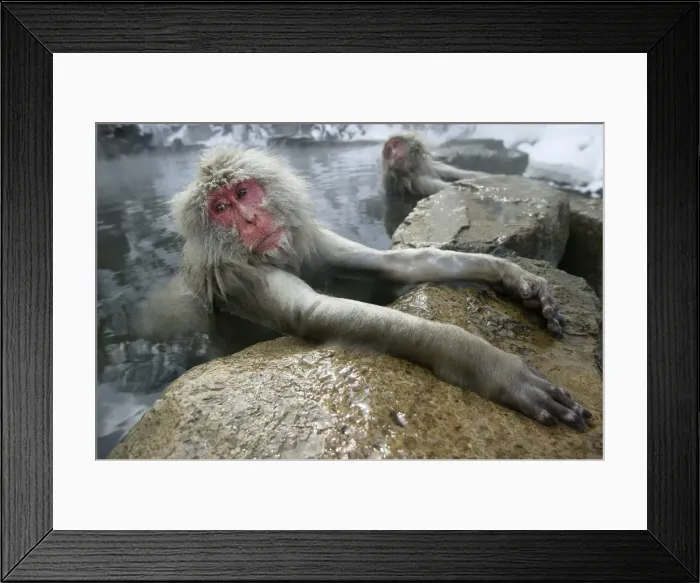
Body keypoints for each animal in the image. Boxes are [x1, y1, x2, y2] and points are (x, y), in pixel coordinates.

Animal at [164, 144, 593, 433]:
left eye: (242, 193)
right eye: (220, 209)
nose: (251, 220)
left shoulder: (310, 241)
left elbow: (390, 265)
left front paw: (510, 273)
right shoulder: (238, 276)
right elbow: (314, 313)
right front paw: (494, 367)